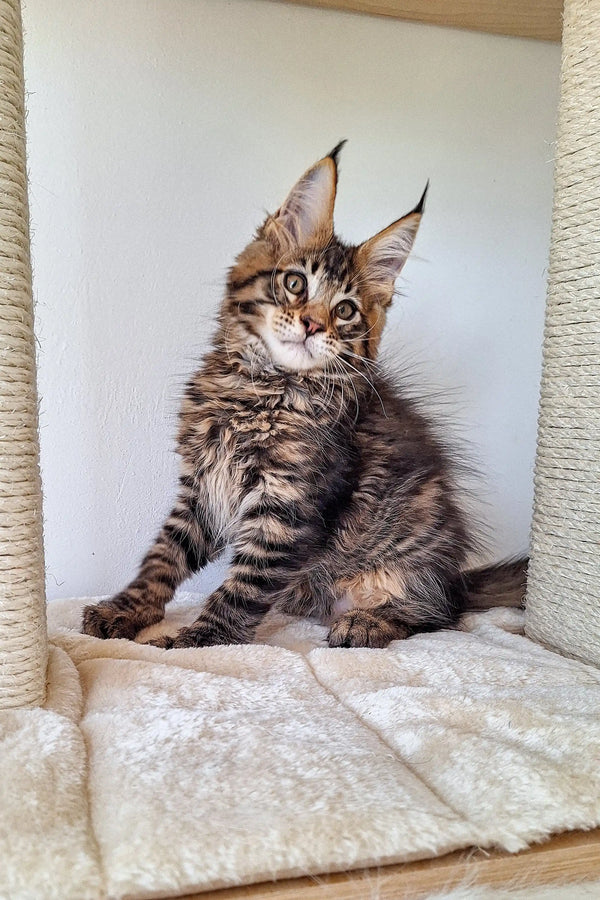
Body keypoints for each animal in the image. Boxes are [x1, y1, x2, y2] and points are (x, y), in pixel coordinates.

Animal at [81, 142, 524, 648]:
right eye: (295, 283)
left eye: (345, 311)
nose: (312, 324)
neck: (259, 387)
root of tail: (455, 575)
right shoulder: (202, 489)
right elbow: (162, 558)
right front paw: (125, 609)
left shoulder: (287, 508)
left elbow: (242, 588)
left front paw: (198, 639)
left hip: (409, 560)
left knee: (441, 613)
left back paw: (368, 621)